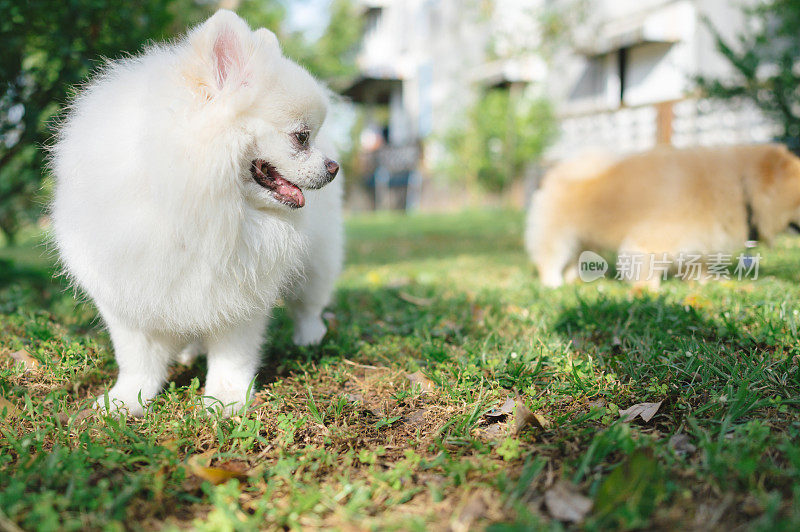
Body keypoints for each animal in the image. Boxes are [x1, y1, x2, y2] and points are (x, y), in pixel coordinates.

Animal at [49, 9, 344, 416]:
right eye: (301, 137)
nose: (333, 167)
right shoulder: (127, 288)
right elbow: (137, 358)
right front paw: (126, 400)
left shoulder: (240, 293)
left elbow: (232, 355)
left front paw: (225, 399)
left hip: (317, 259)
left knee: (309, 301)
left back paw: (310, 336)